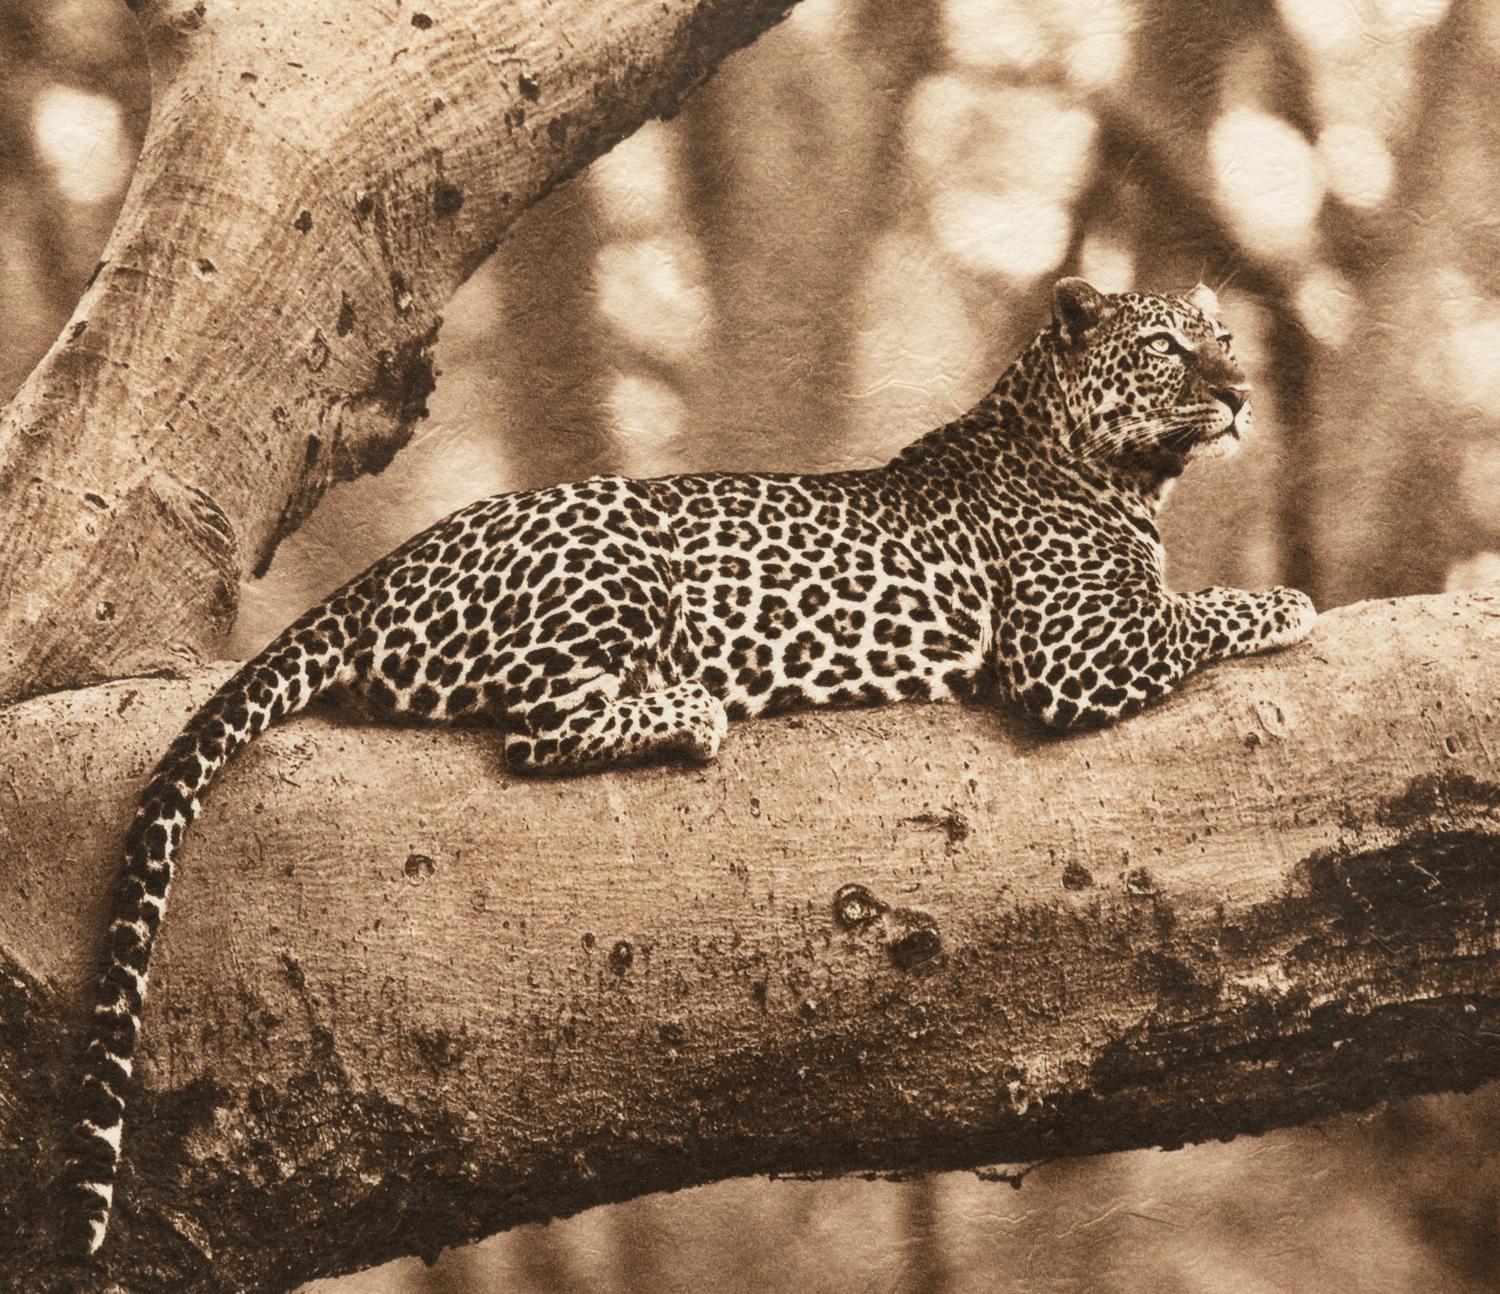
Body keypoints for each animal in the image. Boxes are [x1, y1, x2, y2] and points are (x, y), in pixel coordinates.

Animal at [59, 276, 1317, 1256]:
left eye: (1225, 336)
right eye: (1169, 348)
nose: (1241, 391)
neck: (1108, 468)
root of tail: (377, 575)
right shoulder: (1074, 653)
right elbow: (1200, 611)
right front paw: (1289, 600)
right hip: (618, 554)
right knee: (538, 731)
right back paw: (692, 709)